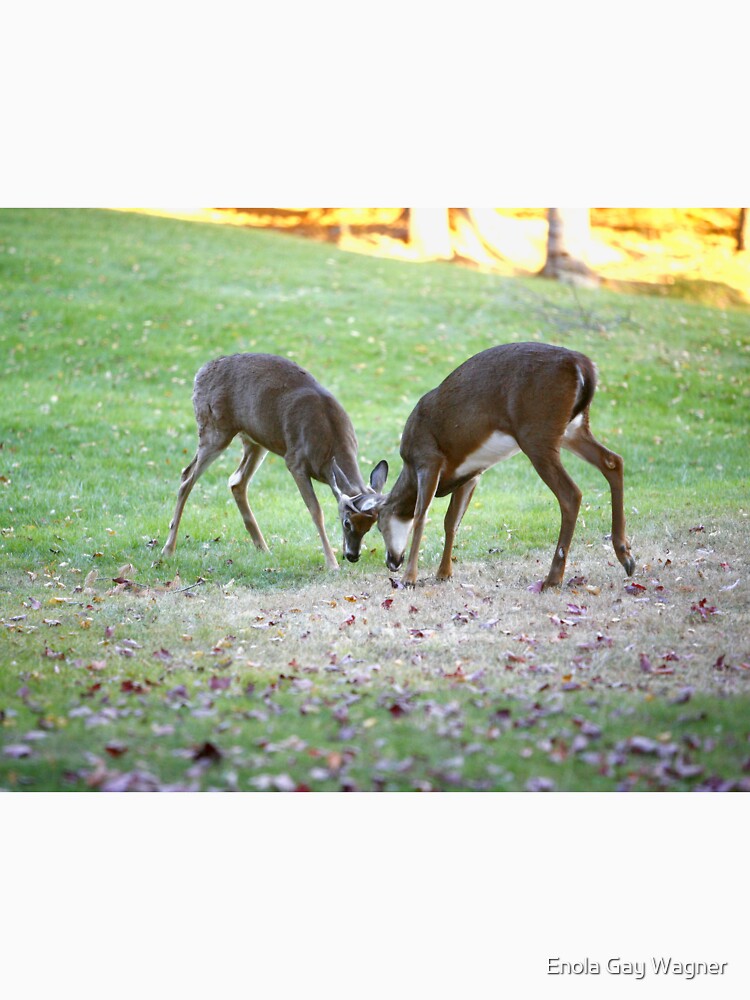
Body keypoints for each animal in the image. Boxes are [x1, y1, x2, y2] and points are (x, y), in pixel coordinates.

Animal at [160, 353, 388, 570]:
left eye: (370, 527)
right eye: (347, 522)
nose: (352, 556)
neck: (328, 444)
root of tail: (200, 373)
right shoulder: (295, 461)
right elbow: (316, 511)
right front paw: (332, 564)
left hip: (255, 441)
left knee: (236, 481)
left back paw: (263, 548)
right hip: (214, 428)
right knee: (187, 477)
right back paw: (168, 549)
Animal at [357, 342, 636, 589]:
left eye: (379, 525)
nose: (391, 562)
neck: (408, 466)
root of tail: (583, 365)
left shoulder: (428, 458)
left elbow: (420, 516)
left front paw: (410, 578)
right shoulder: (472, 472)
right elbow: (451, 521)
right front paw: (444, 573)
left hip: (537, 434)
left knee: (571, 493)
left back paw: (553, 578)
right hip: (572, 429)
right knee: (613, 461)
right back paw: (626, 556)